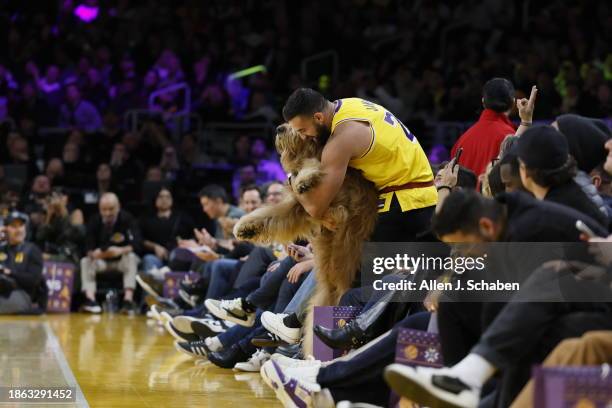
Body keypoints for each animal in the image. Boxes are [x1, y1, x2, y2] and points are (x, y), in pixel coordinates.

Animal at [233, 123, 378, 354]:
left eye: (298, 128)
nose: (280, 128)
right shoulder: (297, 208)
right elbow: (270, 214)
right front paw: (246, 227)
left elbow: (315, 168)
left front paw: (305, 178)